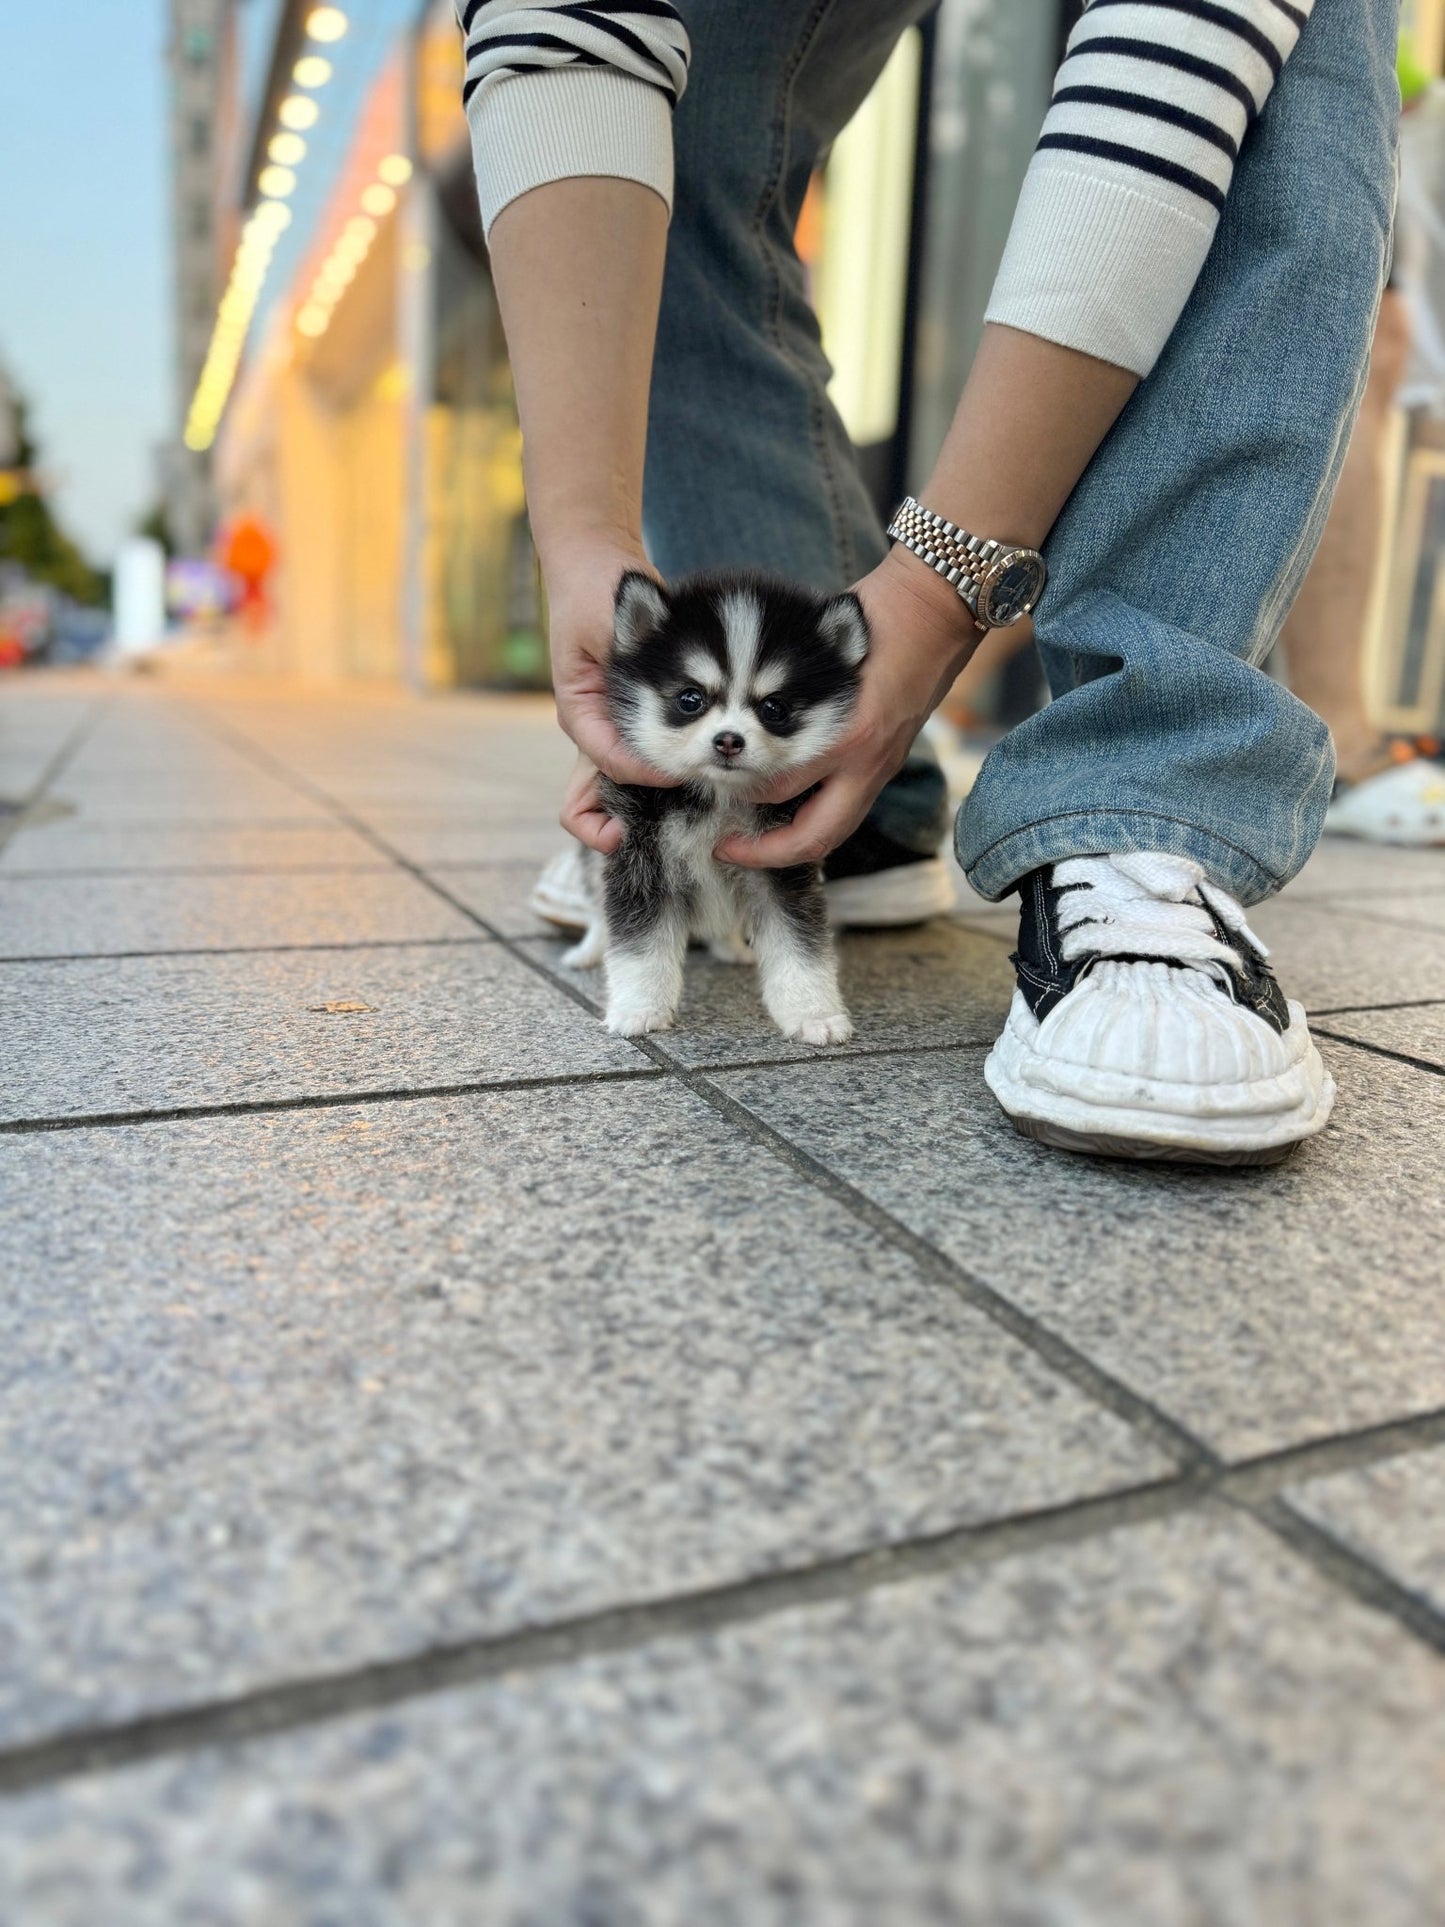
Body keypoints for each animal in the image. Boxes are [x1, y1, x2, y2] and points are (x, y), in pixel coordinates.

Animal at [566, 570, 867, 1048]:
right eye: (691, 699)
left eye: (774, 707)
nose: (729, 740)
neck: (718, 795)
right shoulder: (637, 855)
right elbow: (638, 944)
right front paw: (639, 1008)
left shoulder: (783, 863)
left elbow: (800, 944)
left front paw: (813, 1012)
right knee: (598, 904)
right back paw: (589, 949)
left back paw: (732, 947)